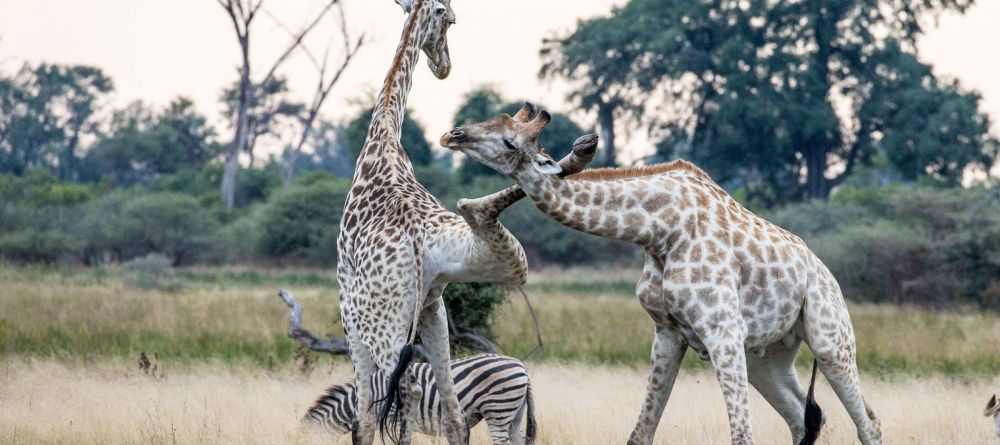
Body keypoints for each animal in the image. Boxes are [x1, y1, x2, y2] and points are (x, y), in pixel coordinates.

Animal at [340, 8, 596, 438]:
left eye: (450, 22)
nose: (443, 67)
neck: (383, 142)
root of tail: (415, 238)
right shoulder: (433, 303)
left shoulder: (347, 307)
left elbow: (364, 419)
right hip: (488, 265)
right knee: (452, 413)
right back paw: (575, 153)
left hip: (379, 321)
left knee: (397, 397)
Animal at [440, 105, 884, 444]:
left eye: (509, 142)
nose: (453, 134)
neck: (660, 229)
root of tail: (825, 272)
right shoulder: (668, 332)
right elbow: (640, 433)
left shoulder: (722, 331)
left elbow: (741, 435)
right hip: (768, 355)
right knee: (801, 418)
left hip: (829, 338)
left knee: (868, 422)